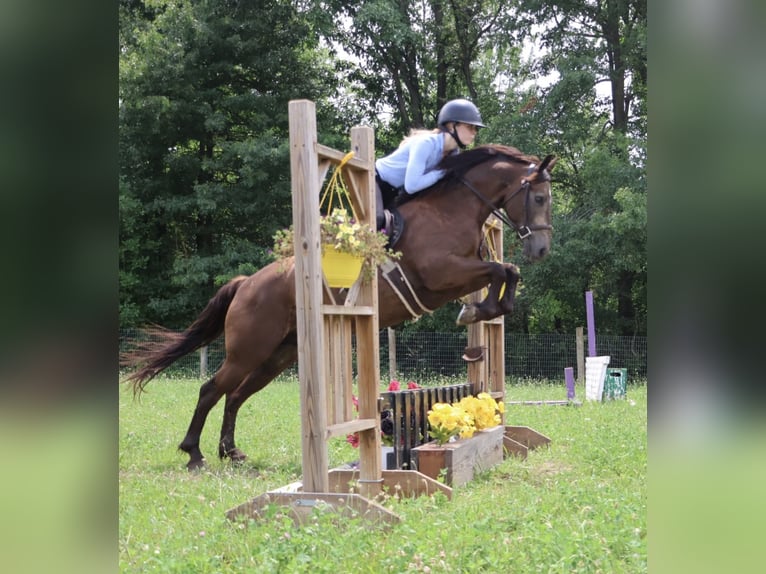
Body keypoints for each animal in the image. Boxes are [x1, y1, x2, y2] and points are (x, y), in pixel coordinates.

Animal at [122, 144, 557, 470]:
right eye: (538, 197)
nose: (542, 250)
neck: (453, 209)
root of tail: (247, 283)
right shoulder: (442, 274)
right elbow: (502, 269)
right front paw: (477, 312)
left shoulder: (461, 274)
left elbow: (506, 271)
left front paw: (484, 314)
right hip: (249, 349)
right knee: (212, 389)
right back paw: (194, 454)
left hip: (277, 356)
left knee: (236, 395)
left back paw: (231, 452)